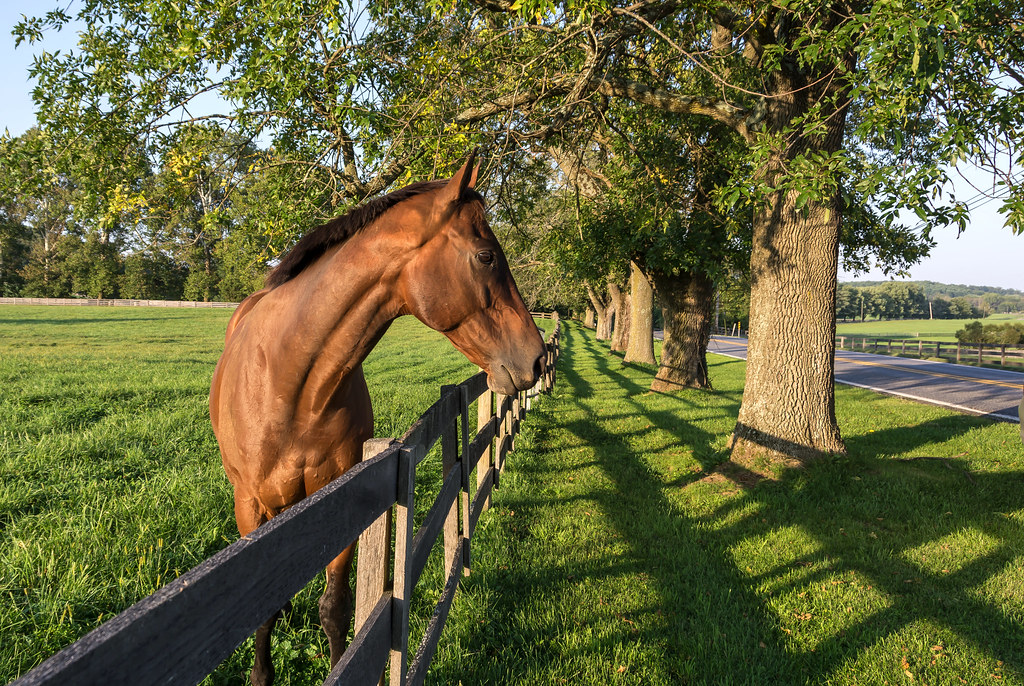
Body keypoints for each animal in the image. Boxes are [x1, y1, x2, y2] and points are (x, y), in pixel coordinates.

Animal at [208, 152, 546, 686]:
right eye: (486, 256)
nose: (535, 358)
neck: (290, 384)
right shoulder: (249, 506)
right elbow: (261, 613)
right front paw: (261, 675)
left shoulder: (344, 500)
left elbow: (336, 607)